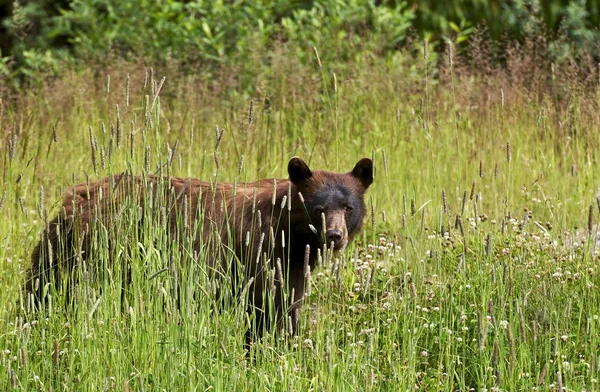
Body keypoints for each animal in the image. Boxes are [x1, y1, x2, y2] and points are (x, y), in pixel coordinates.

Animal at [29, 156, 376, 346]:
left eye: (347, 207)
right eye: (319, 208)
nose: (334, 236)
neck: (289, 230)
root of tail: (72, 199)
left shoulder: (290, 262)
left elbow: (287, 303)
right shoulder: (260, 254)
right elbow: (269, 308)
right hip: (92, 255)